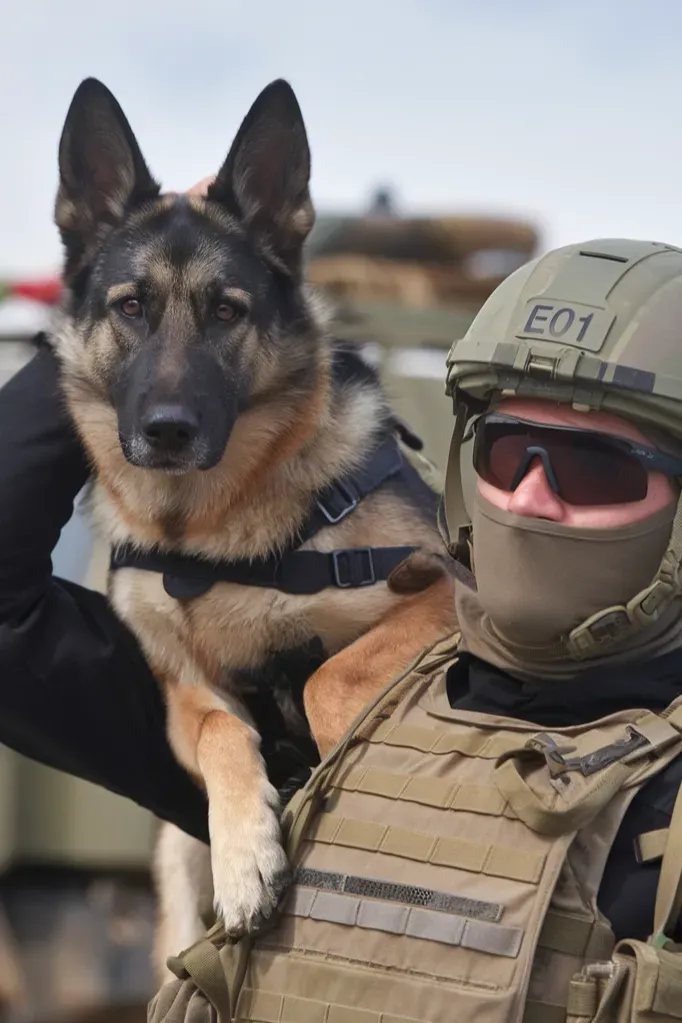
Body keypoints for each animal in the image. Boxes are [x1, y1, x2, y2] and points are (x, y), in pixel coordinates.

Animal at [48, 75, 458, 977]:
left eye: (227, 311)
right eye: (131, 307)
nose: (166, 432)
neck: (209, 530)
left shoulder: (445, 601)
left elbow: (328, 677)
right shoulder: (179, 685)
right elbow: (217, 731)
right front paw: (246, 859)